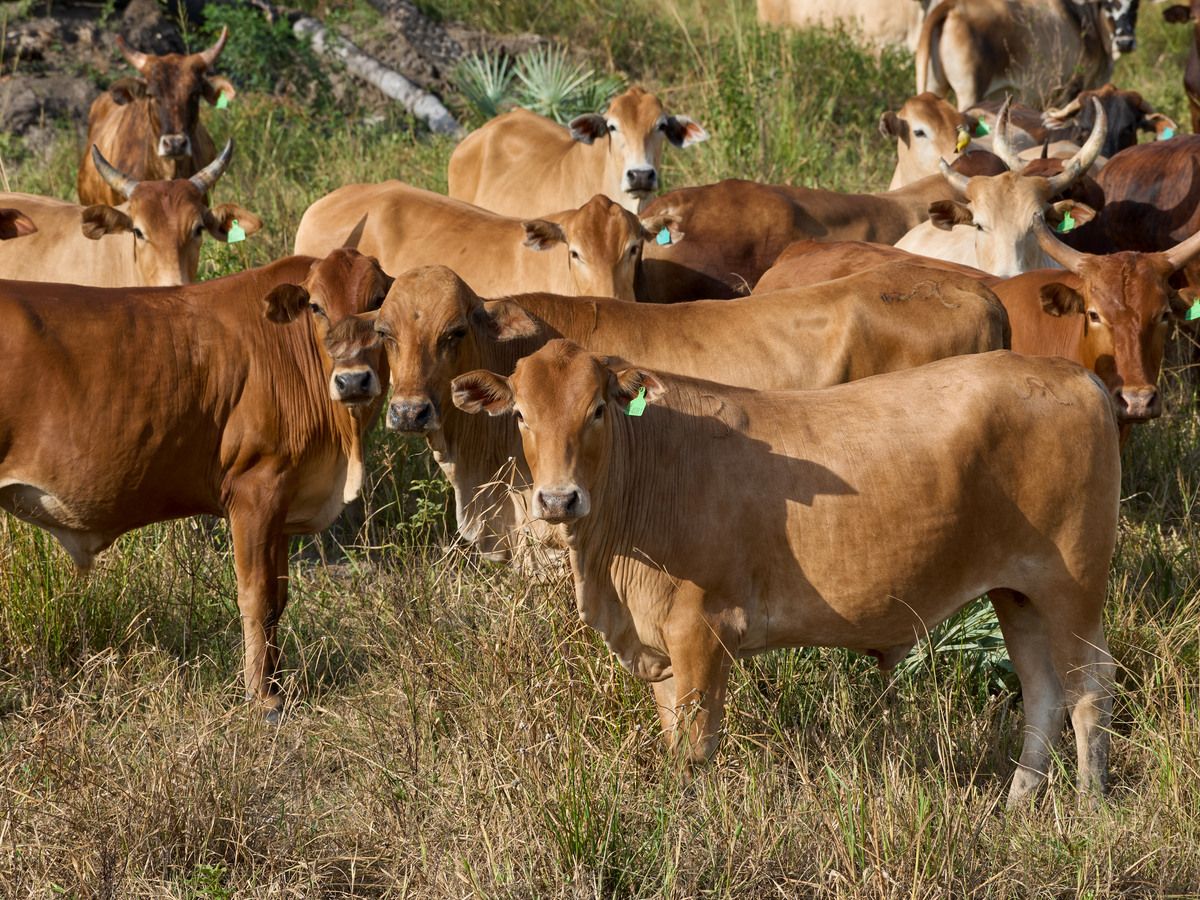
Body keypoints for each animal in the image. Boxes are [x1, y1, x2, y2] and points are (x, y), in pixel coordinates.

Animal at [0, 249, 390, 718]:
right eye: (316, 306)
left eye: (379, 300)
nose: (353, 380)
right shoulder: (255, 490)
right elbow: (256, 597)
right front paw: (261, 698)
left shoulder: (281, 501)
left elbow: (278, 601)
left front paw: (279, 684)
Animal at [451, 339, 1120, 808]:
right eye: (520, 415)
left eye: (595, 410)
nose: (558, 499)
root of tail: (1071, 373)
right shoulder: (658, 643)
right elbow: (673, 737)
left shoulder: (702, 632)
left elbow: (695, 746)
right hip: (1018, 593)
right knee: (1042, 694)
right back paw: (1016, 804)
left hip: (1073, 588)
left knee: (1089, 692)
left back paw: (1089, 806)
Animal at [916, 0, 1139, 110]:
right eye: (1108, 4)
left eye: (1135, 5)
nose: (1125, 42)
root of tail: (951, 6)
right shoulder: (1074, 87)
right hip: (969, 94)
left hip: (934, 87)